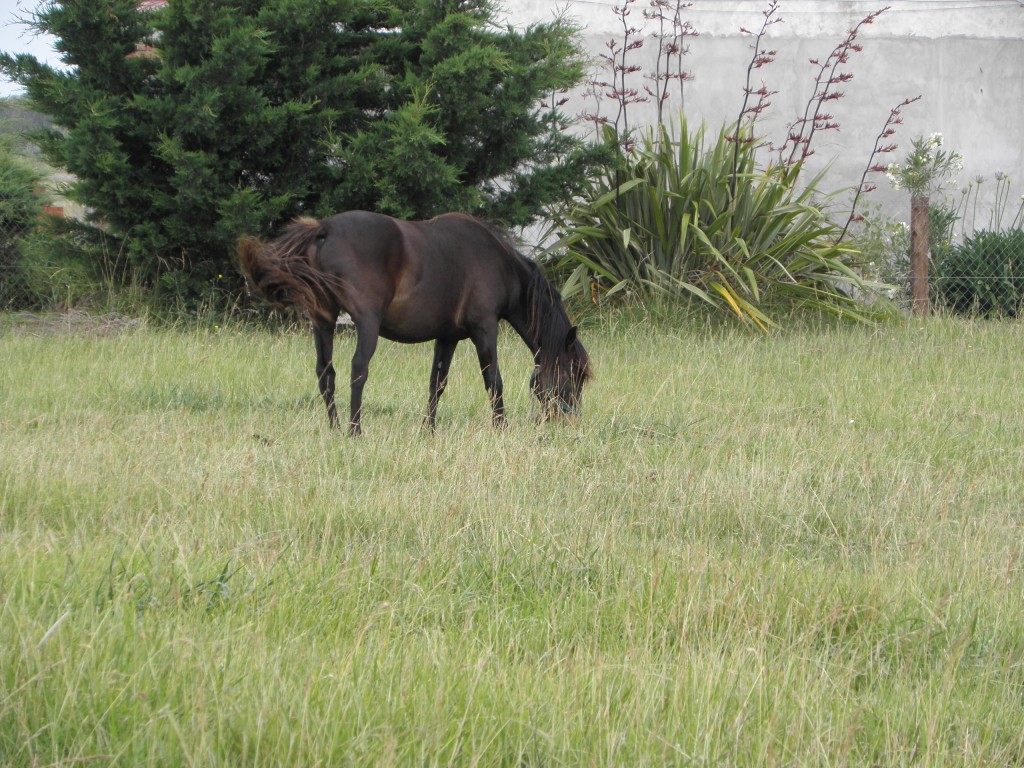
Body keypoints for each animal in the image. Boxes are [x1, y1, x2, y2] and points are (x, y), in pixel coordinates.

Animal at [237, 210, 593, 436]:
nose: (568, 422)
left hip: (323, 321)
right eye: (575, 374)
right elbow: (494, 380)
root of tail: (325, 229)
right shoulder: (484, 329)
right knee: (358, 370)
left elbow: (437, 383)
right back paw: (355, 430)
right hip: (366, 325)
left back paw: (335, 428)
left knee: (326, 374)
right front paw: (501, 427)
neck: (499, 263)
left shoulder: (447, 337)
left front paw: (428, 429)